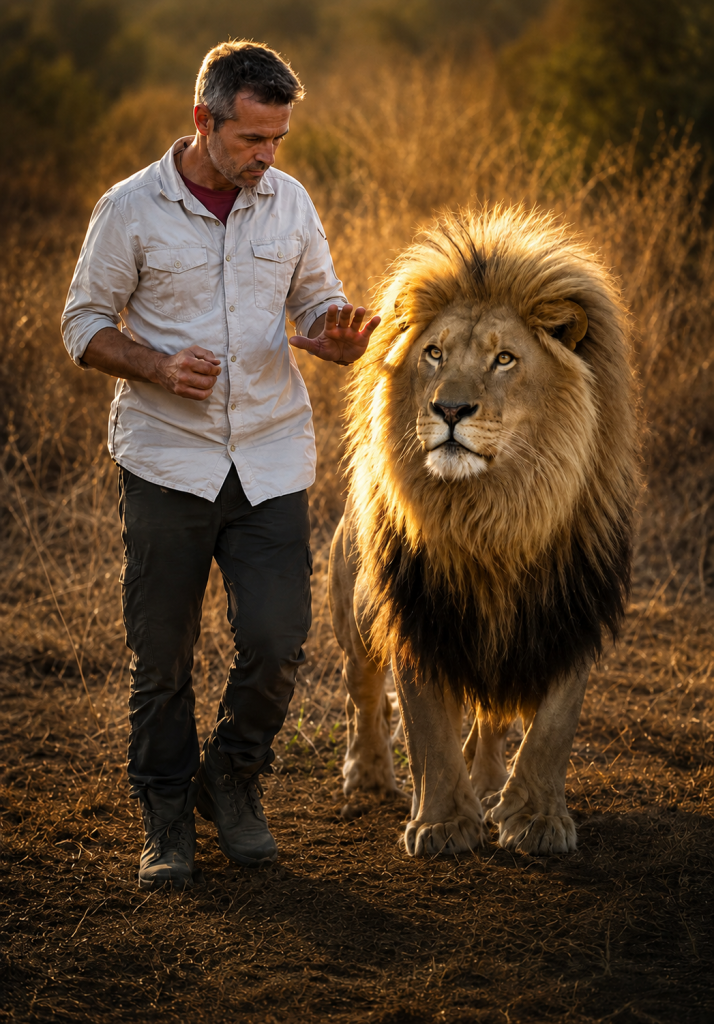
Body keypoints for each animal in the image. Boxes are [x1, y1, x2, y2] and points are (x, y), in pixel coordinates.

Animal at [328, 205, 638, 857]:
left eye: (504, 359)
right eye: (434, 354)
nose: (449, 410)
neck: (496, 512)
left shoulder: (571, 603)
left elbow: (552, 727)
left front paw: (536, 818)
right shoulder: (418, 613)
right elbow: (427, 730)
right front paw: (443, 824)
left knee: (491, 718)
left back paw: (492, 783)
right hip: (354, 609)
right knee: (361, 690)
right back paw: (368, 776)